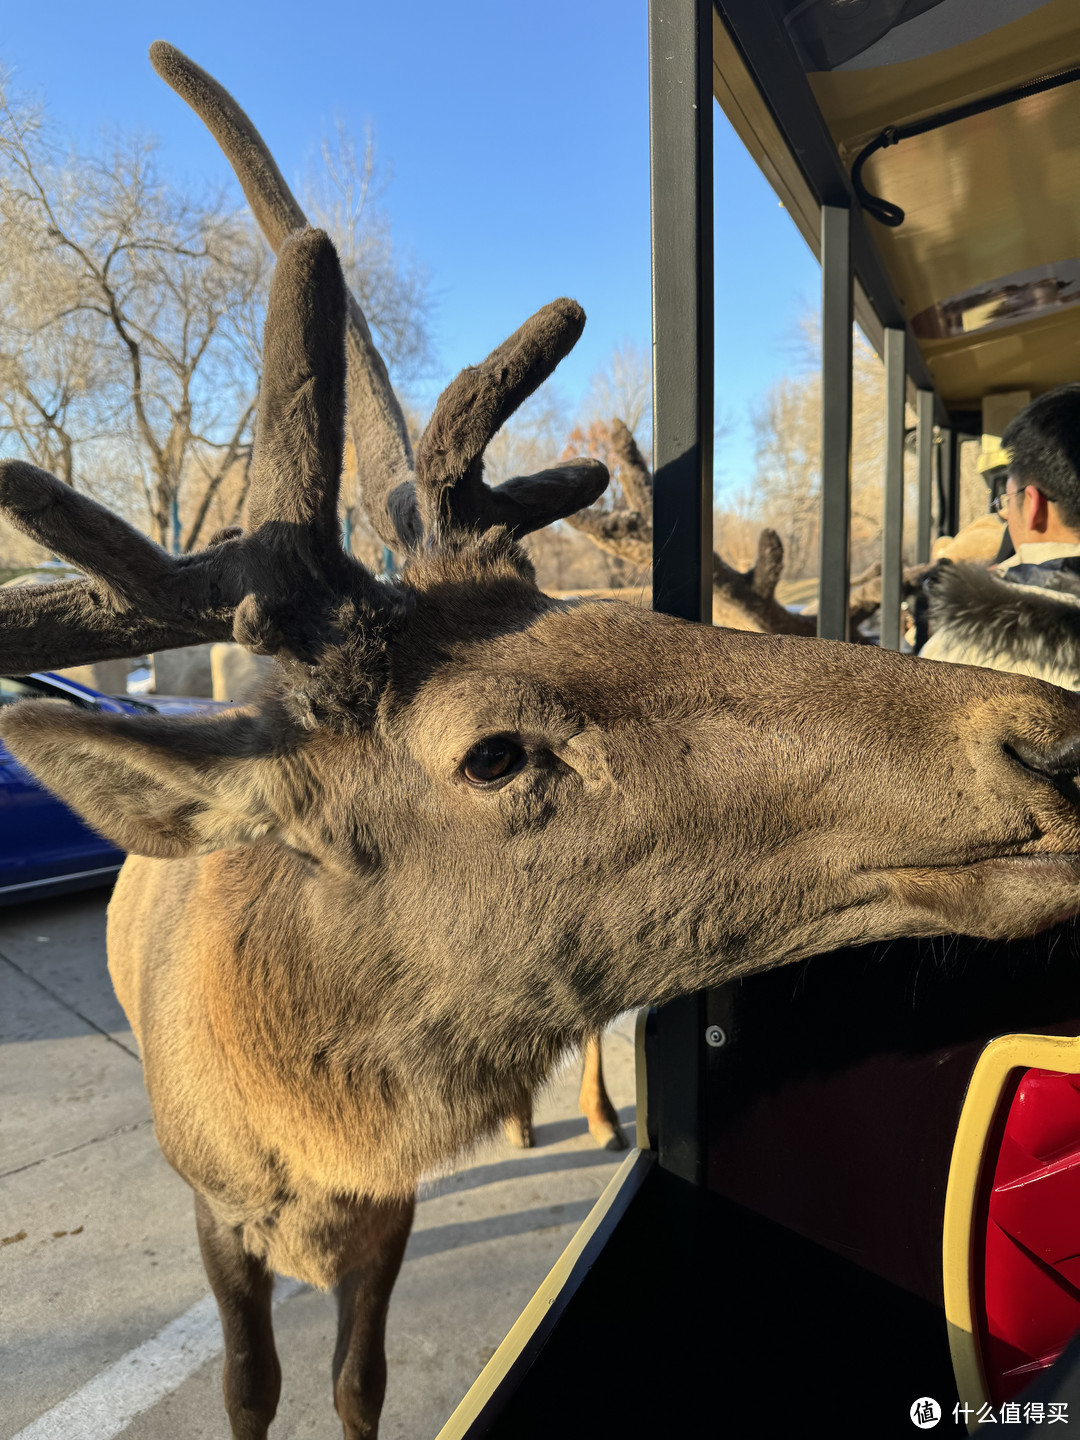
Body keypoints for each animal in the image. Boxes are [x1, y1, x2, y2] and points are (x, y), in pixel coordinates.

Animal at [4, 45, 1080, 1440]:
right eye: (493, 754)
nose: (1045, 741)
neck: (309, 1120)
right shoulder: (215, 1216)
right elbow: (251, 1392)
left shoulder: (389, 1211)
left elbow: (359, 1386)